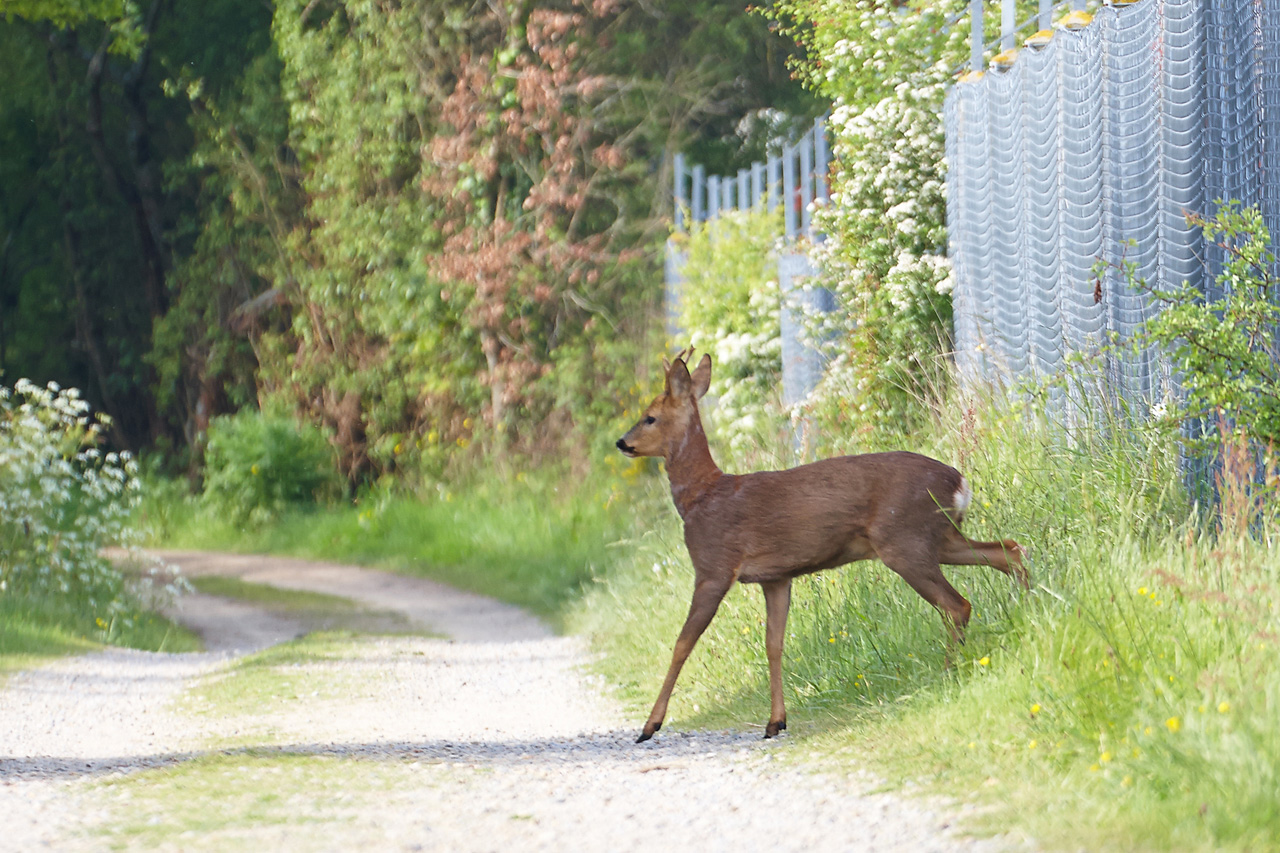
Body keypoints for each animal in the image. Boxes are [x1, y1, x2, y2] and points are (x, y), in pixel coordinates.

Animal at [614, 348, 1024, 742]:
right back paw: (1027, 610)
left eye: (649, 417)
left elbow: (682, 644)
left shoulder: (713, 567)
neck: (701, 496)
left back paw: (949, 669)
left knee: (957, 604)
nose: (622, 442)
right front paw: (776, 722)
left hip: (905, 542)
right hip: (940, 538)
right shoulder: (776, 577)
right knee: (1007, 550)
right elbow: (774, 644)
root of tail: (959, 482)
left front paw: (650, 726)